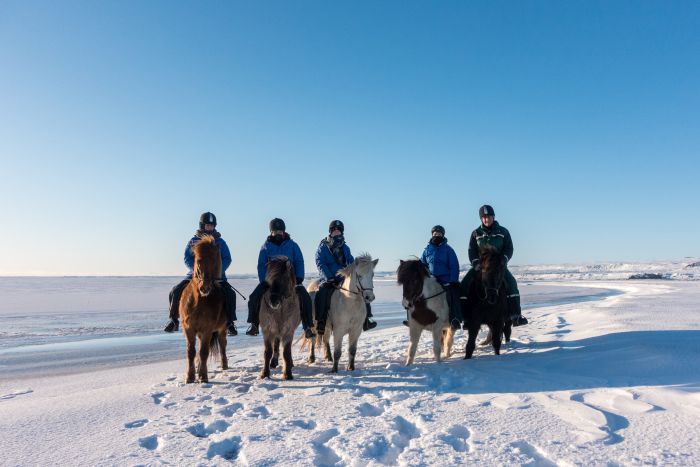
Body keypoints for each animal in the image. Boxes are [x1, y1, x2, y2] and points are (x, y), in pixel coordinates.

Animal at [179, 234, 228, 384]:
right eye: (198, 260)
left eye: (214, 260)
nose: (204, 287)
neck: (199, 302)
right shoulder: (188, 328)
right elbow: (191, 352)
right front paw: (190, 377)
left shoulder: (207, 329)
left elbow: (204, 352)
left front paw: (203, 377)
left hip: (222, 329)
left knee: (223, 344)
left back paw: (224, 365)